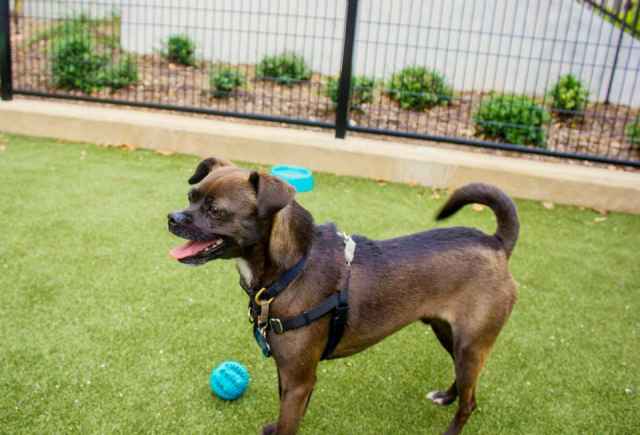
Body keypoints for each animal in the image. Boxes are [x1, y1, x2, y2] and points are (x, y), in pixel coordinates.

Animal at [168, 157, 519, 435]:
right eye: (190, 197)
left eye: (215, 211)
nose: (172, 217)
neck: (294, 267)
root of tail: (496, 243)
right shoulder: (290, 375)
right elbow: (287, 419)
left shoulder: (299, 380)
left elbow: (288, 425)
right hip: (448, 334)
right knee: (465, 384)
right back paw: (446, 396)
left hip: (470, 344)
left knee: (470, 402)